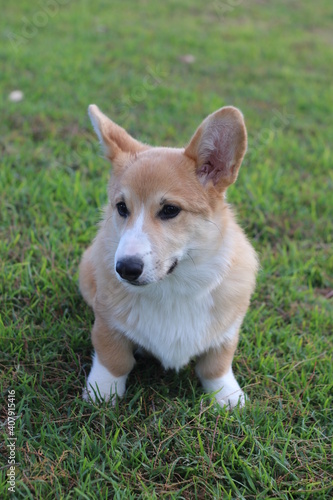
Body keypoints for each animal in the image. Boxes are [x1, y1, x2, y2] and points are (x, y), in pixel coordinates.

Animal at [80, 103, 256, 408]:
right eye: (121, 207)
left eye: (170, 210)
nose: (125, 269)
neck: (173, 287)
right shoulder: (107, 323)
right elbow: (113, 358)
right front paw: (101, 394)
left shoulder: (228, 330)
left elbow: (217, 365)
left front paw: (228, 399)